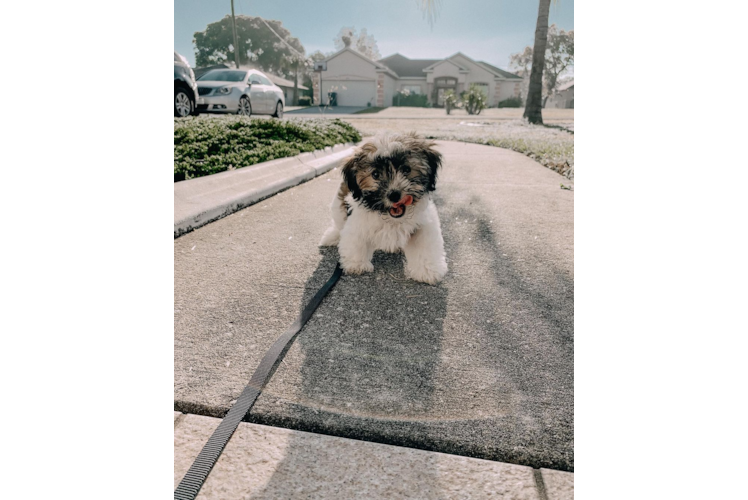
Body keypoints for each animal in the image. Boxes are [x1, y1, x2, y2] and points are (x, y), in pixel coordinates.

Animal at [318, 132, 448, 286]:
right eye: (375, 174)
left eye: (406, 169)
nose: (394, 194)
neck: (390, 218)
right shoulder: (357, 220)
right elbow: (355, 240)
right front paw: (356, 264)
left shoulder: (423, 225)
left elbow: (425, 246)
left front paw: (428, 271)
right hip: (338, 207)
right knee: (339, 224)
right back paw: (333, 235)